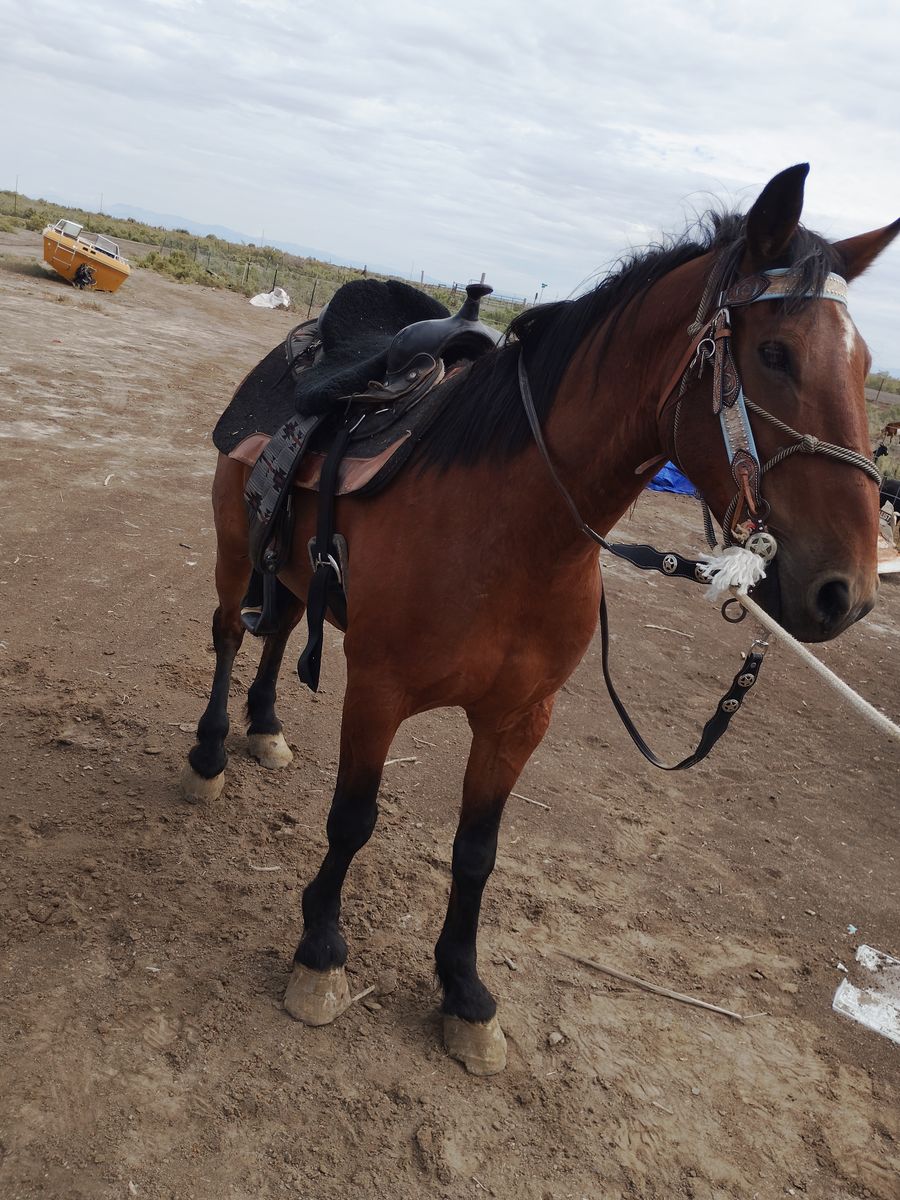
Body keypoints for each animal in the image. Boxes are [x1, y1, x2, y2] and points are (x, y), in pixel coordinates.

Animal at [182, 164, 898, 1074]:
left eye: (866, 364)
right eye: (774, 354)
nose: (847, 593)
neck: (510, 527)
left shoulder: (520, 719)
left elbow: (477, 854)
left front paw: (463, 991)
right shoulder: (376, 695)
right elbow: (352, 821)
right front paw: (320, 952)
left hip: (295, 576)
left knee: (276, 633)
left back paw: (266, 725)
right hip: (237, 553)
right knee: (228, 636)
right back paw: (209, 753)